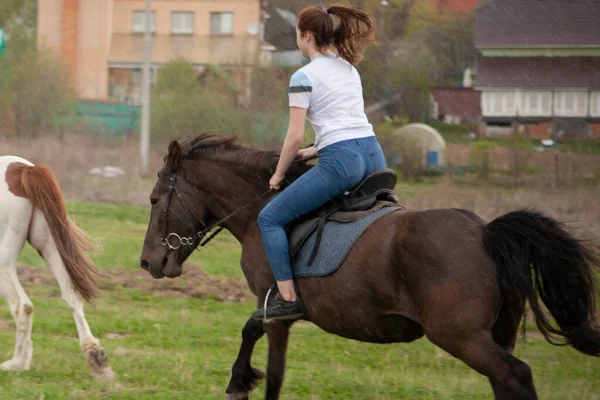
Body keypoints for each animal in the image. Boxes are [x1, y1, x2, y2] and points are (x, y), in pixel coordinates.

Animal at [0, 155, 113, 380]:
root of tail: (21, 169)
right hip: (48, 245)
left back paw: (17, 363)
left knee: (22, 305)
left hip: (4, 262)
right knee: (71, 295)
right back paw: (95, 356)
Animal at [142, 135, 600, 400]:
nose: (147, 262)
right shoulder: (277, 314)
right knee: (504, 382)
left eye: (154, 199)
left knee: (516, 376)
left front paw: (239, 379)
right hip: (494, 334)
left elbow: (258, 344)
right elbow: (268, 362)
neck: (260, 210)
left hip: (461, 336)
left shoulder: (273, 306)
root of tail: (486, 232)